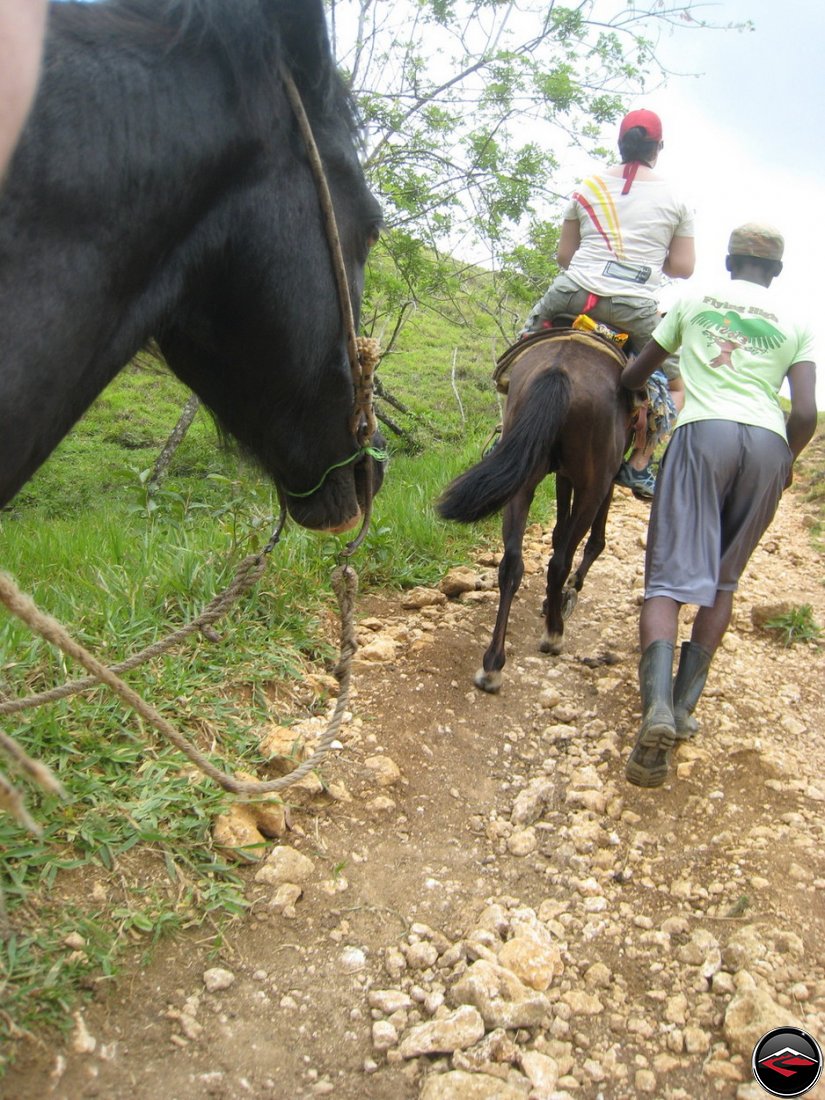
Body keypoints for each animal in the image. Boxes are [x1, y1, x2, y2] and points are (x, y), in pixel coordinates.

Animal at [440, 332, 633, 695]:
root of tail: (560, 369)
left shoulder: (563, 475)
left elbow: (559, 530)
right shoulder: (606, 478)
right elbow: (592, 540)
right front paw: (568, 592)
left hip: (523, 480)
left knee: (512, 564)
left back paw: (492, 666)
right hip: (592, 484)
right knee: (559, 562)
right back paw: (554, 633)